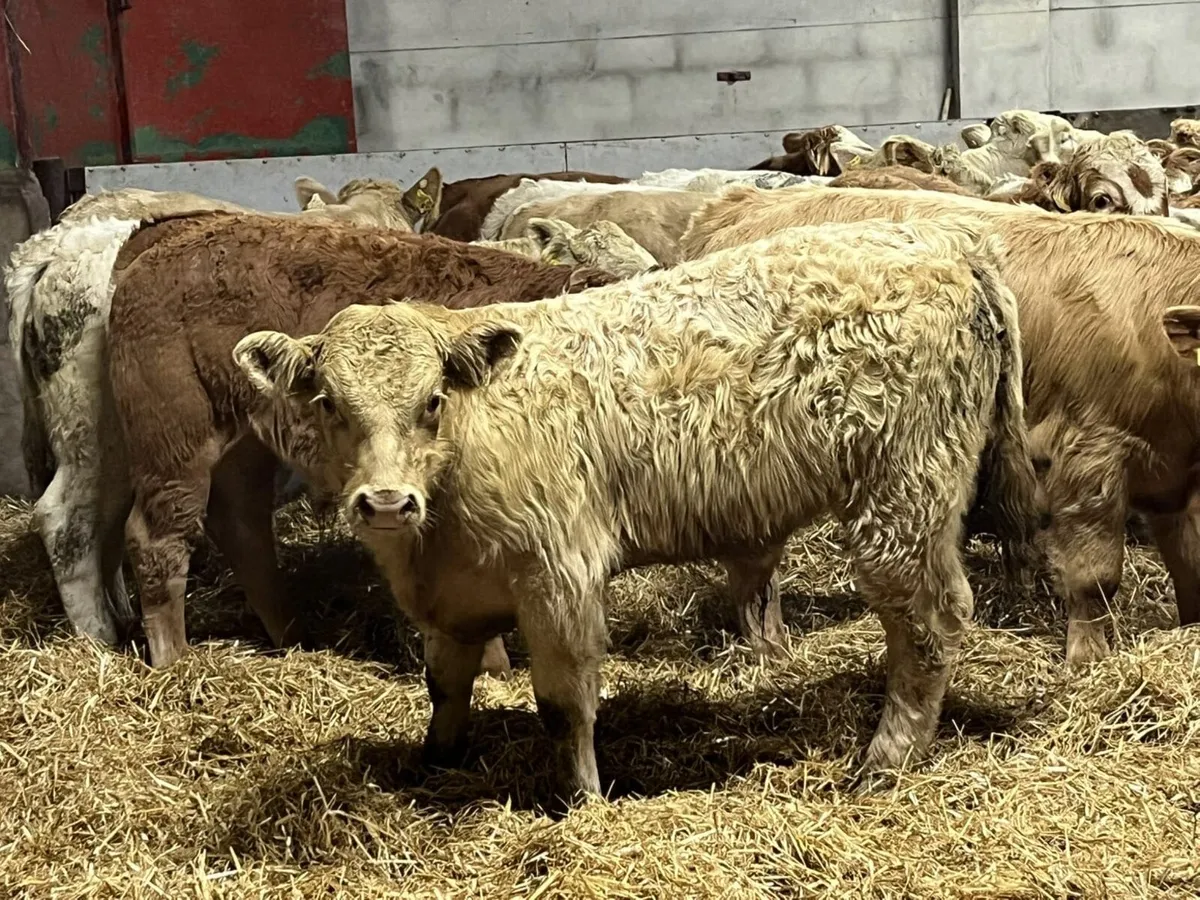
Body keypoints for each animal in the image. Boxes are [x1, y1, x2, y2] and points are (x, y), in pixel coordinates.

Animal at [105, 212, 618, 671]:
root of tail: (157, 249)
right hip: (174, 443)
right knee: (159, 538)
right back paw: (174, 661)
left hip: (242, 445)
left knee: (242, 527)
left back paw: (295, 637)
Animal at [231, 217, 1034, 802]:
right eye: (328, 403)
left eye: (431, 401)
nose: (386, 502)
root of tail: (945, 245)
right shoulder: (450, 599)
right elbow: (445, 686)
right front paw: (433, 763)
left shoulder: (559, 578)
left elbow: (564, 702)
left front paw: (581, 801)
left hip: (903, 499)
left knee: (929, 622)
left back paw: (883, 762)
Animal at [680, 183, 1200, 667]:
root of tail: (738, 204)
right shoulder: (1087, 458)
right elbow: (1096, 576)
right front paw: (1088, 658)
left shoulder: (1175, 481)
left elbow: (1189, 561)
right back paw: (770, 648)